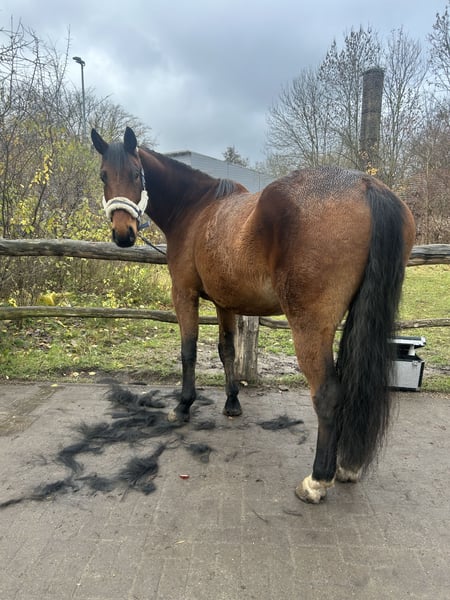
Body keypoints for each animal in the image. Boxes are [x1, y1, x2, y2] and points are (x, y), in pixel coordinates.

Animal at [91, 126, 415, 504]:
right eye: (104, 175)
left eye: (135, 174)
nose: (123, 234)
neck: (196, 208)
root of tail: (366, 186)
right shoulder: (224, 303)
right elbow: (227, 350)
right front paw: (232, 402)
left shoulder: (184, 294)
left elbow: (189, 351)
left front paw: (183, 406)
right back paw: (347, 466)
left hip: (309, 327)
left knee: (328, 393)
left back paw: (318, 479)